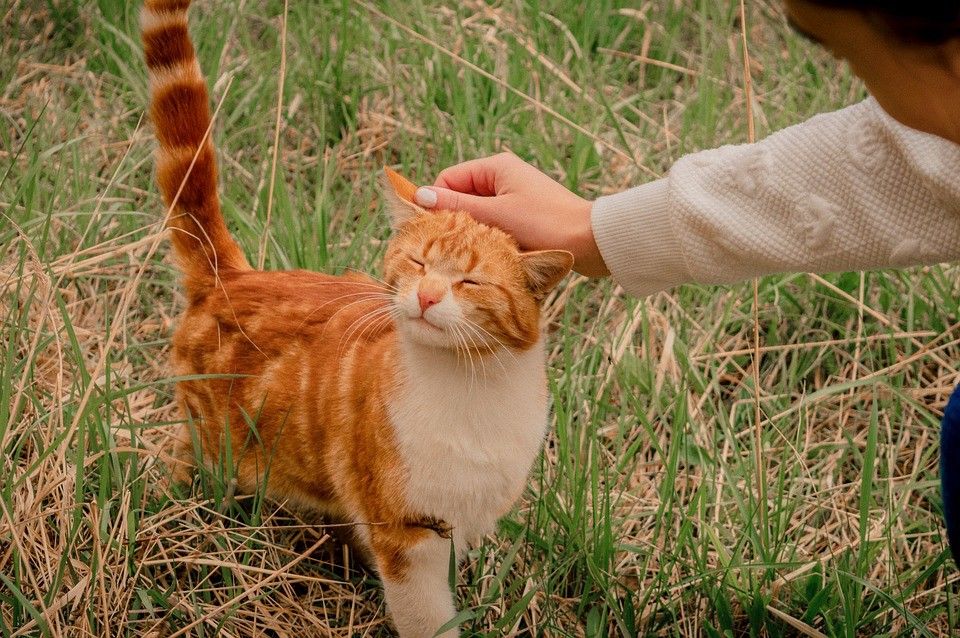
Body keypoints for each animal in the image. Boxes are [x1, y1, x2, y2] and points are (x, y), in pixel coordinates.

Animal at [140, 1, 572, 638]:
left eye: (469, 282)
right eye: (417, 262)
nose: (427, 296)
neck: (472, 390)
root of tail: (233, 277)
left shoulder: (463, 522)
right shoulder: (407, 533)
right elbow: (427, 617)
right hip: (214, 449)